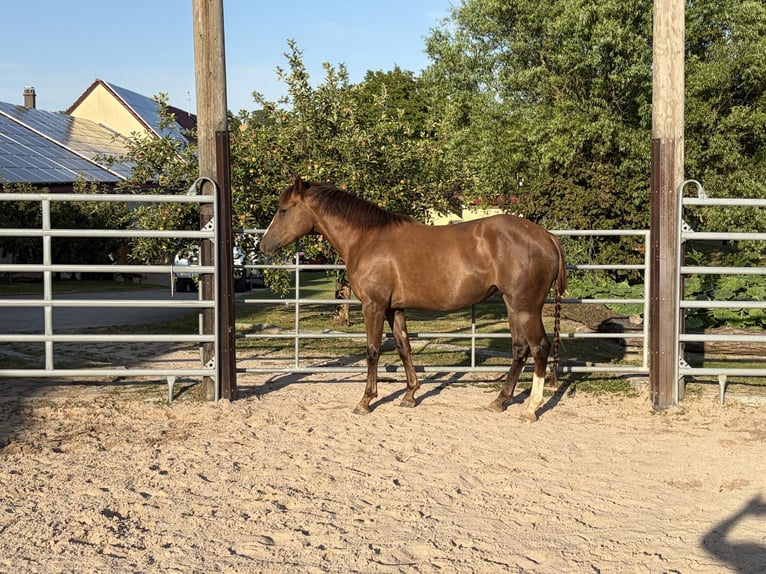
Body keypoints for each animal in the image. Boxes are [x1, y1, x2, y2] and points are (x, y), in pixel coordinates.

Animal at [261, 176, 567, 422]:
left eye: (283, 209)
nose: (264, 245)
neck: (366, 239)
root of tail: (547, 237)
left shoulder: (373, 306)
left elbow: (372, 350)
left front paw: (365, 400)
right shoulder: (394, 309)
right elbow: (403, 347)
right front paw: (410, 394)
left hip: (526, 308)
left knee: (539, 348)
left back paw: (530, 409)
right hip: (512, 305)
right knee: (520, 349)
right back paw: (499, 401)